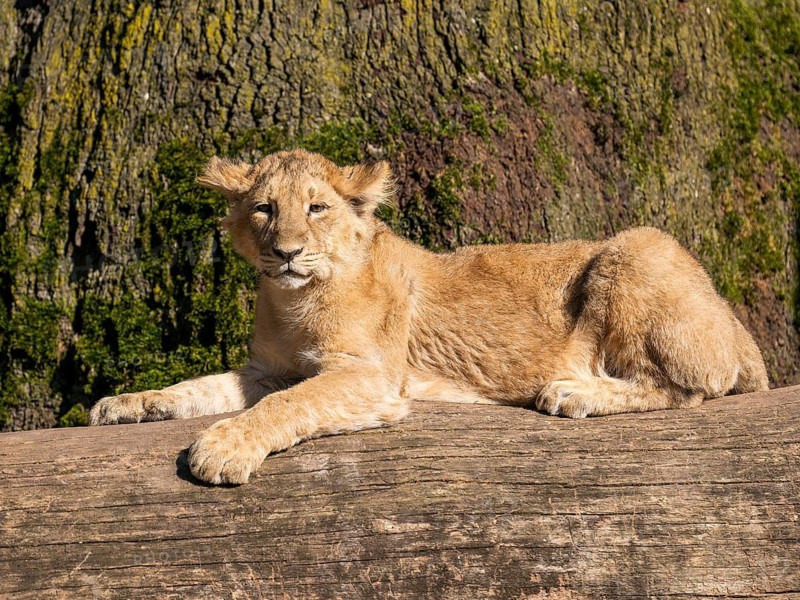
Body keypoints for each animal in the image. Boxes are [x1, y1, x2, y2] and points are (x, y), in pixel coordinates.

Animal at [90, 149, 769, 485]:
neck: (295, 300)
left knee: (687, 389)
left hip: (637, 246)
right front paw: (129, 403)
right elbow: (202, 387)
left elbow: (286, 406)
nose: (284, 253)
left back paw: (575, 392)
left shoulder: (372, 377)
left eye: (315, 208)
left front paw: (223, 448)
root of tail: (740, 330)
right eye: (263, 209)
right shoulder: (268, 369)